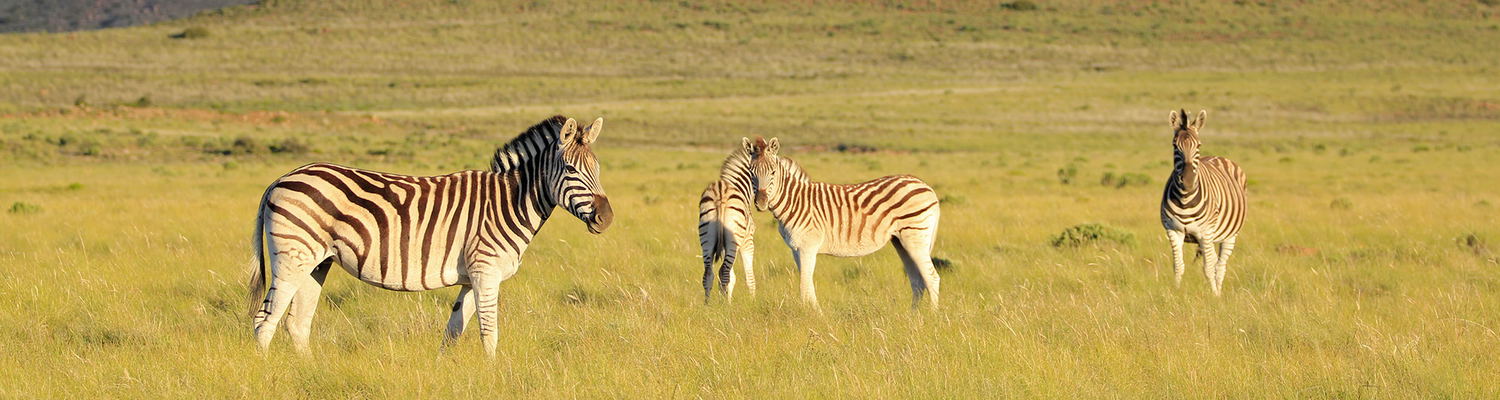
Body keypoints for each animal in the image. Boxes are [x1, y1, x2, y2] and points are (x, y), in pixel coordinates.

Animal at [248, 115, 613, 357]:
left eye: (598, 169)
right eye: (571, 170)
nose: (606, 218)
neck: (509, 202)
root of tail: (281, 178)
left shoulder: (471, 277)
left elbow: (453, 332)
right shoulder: (486, 271)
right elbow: (489, 331)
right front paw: (494, 375)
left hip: (316, 263)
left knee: (297, 323)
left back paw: (309, 371)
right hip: (293, 257)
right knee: (265, 320)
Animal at [697, 147, 756, 303]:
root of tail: (720, 193)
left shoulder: (723, 245)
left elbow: (731, 277)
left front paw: (726, 300)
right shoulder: (747, 242)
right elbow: (749, 276)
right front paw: (752, 302)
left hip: (707, 237)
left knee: (709, 273)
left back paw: (708, 305)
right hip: (734, 240)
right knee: (724, 272)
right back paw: (723, 307)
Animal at [743, 137, 942, 311]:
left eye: (773, 172)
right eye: (751, 173)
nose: (761, 203)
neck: (795, 201)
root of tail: (926, 186)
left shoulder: (808, 247)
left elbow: (804, 287)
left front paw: (814, 317)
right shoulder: (796, 249)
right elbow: (808, 285)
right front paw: (813, 314)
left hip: (915, 237)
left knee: (932, 278)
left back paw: (931, 317)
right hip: (901, 241)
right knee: (917, 281)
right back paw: (913, 317)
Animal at [1161, 109, 1247, 296]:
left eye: (1198, 146)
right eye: (1175, 146)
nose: (1187, 181)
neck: (1185, 199)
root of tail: (1217, 157)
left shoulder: (1204, 233)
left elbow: (1208, 268)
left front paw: (1214, 297)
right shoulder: (1173, 231)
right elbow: (1178, 266)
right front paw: (1175, 294)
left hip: (1229, 235)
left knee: (1220, 266)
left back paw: (1219, 294)